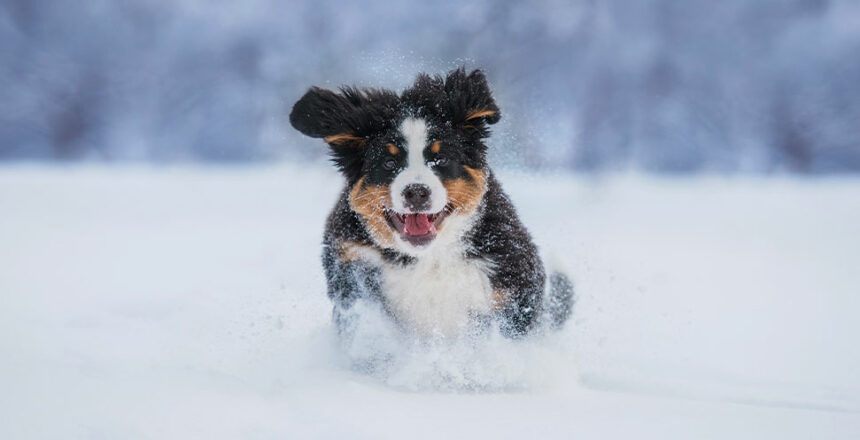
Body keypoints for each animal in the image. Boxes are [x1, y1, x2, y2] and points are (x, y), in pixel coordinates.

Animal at [288, 69, 572, 338]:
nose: (416, 192)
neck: (427, 258)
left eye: (441, 159)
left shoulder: (511, 286)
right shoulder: (351, 265)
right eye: (389, 163)